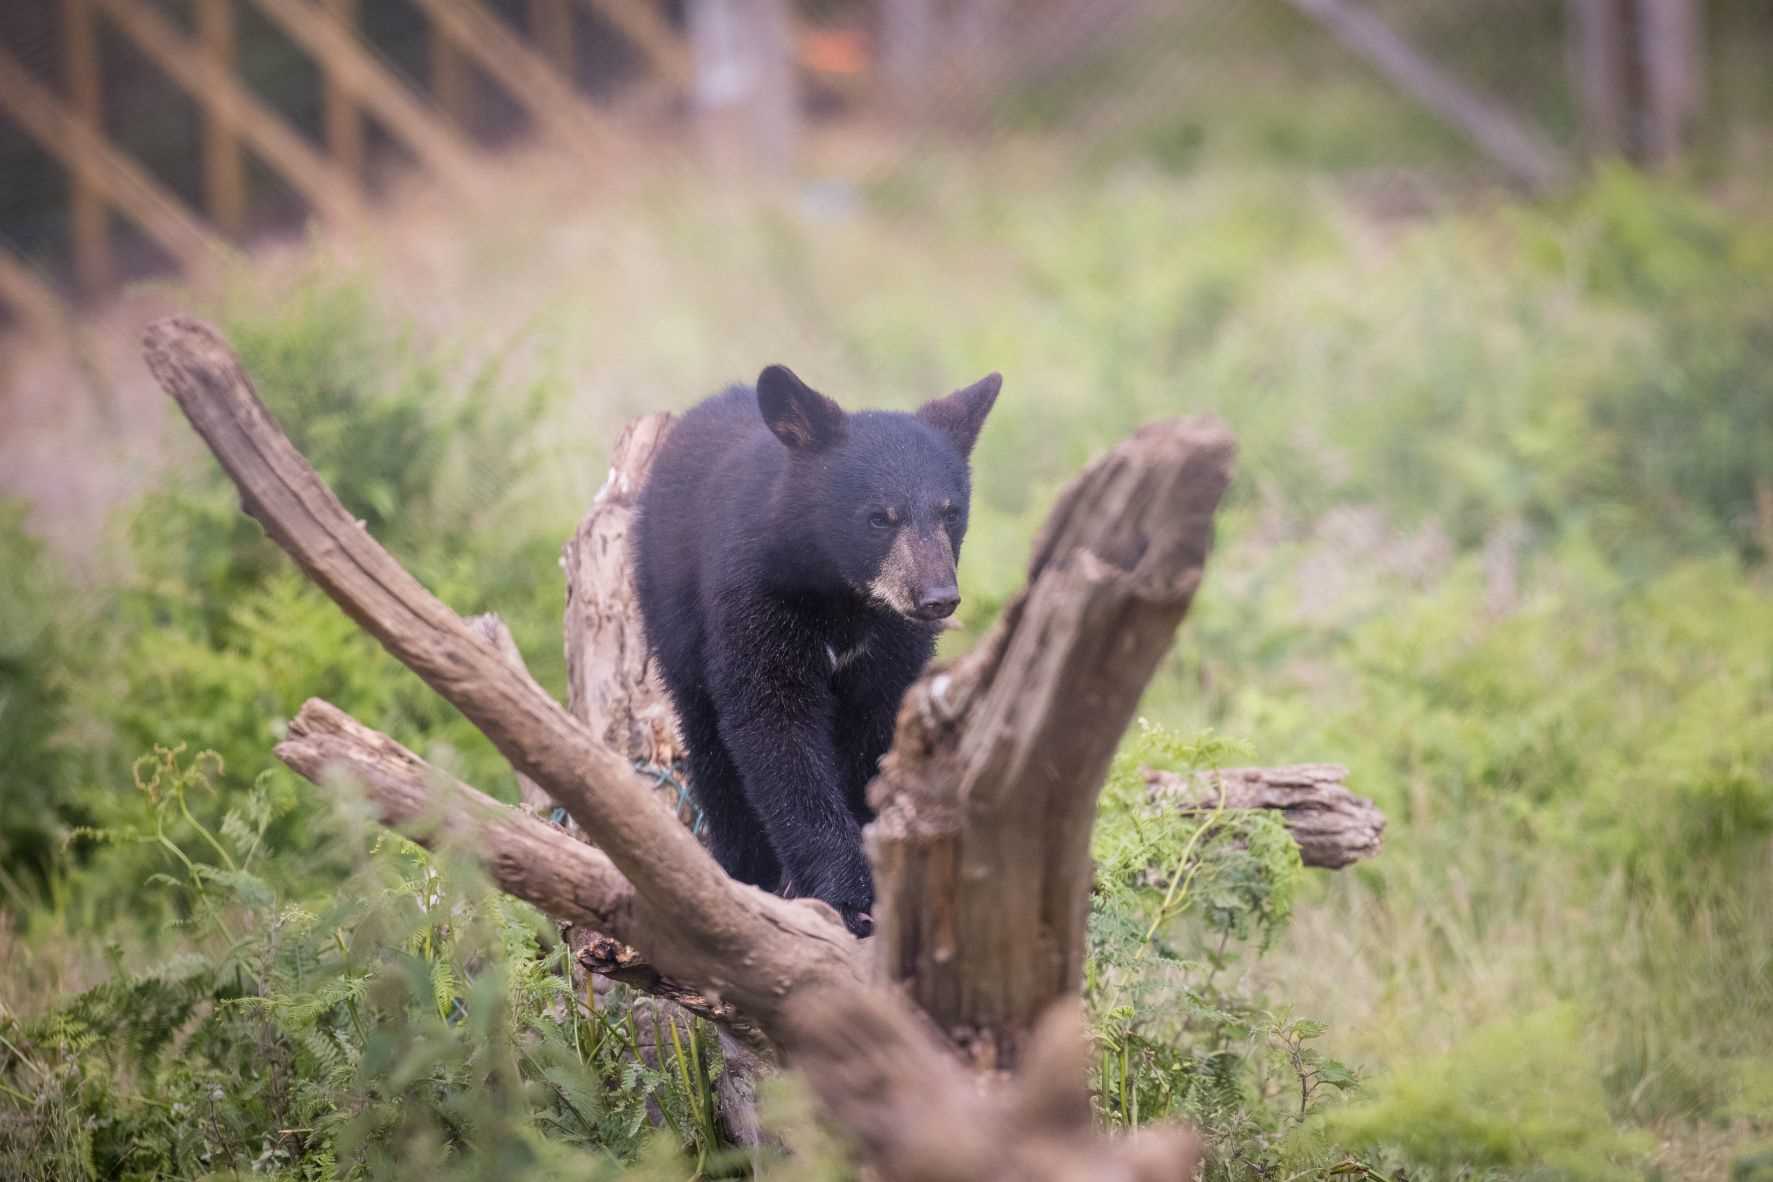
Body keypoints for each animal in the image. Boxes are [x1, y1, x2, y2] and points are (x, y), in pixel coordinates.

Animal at [632, 364, 1001, 937]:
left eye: (950, 512)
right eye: (879, 517)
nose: (937, 597)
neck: (843, 599)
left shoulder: (892, 647)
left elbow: (877, 737)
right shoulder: (755, 601)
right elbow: (774, 726)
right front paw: (847, 895)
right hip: (672, 605)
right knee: (709, 742)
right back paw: (744, 868)